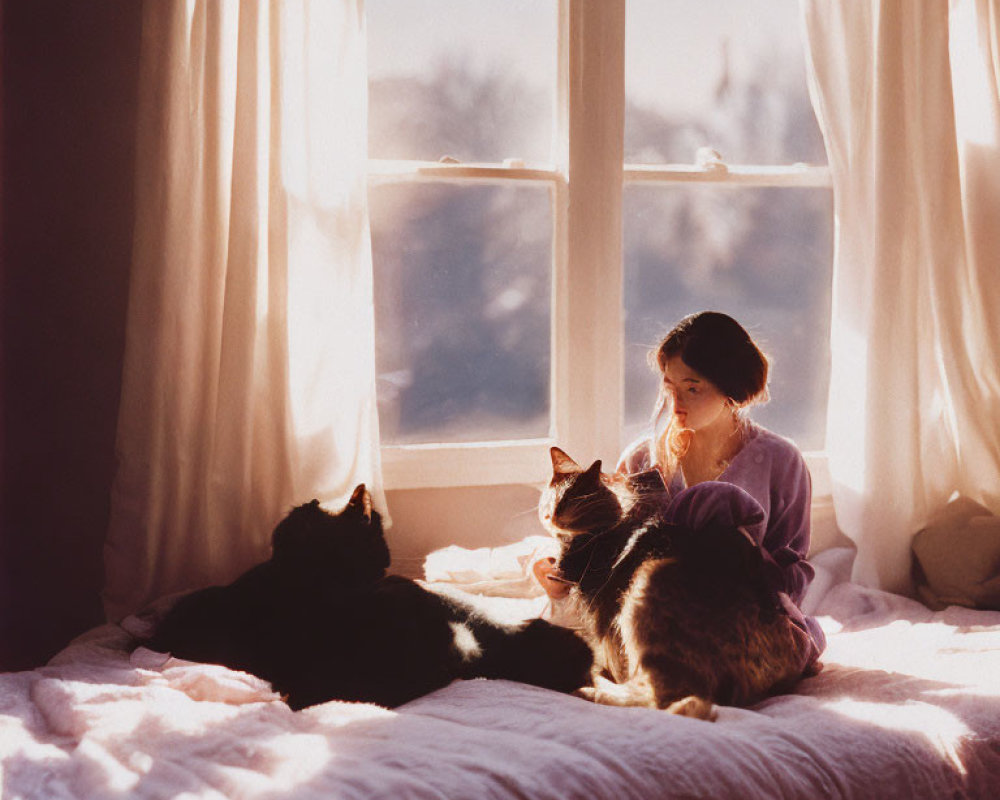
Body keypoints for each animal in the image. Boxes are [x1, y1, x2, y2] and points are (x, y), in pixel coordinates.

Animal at [540, 450, 804, 720]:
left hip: (647, 585)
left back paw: (590, 687)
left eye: (574, 498)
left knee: (667, 700)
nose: (553, 514)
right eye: (553, 495)